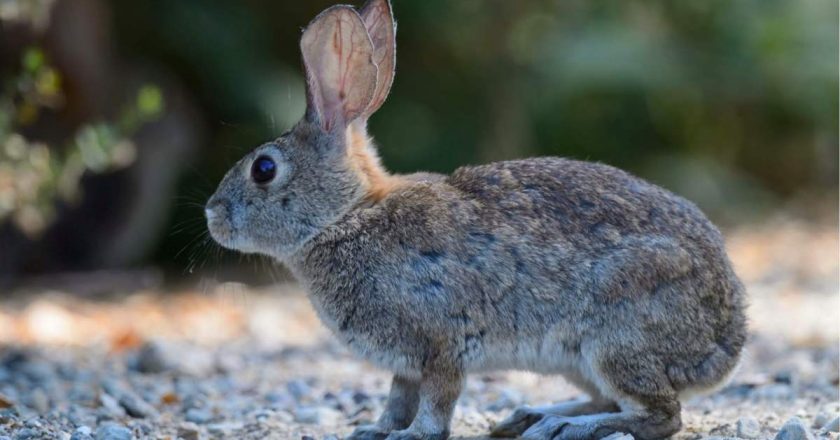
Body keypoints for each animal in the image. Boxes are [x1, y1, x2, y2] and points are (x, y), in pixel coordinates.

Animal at [205, 1, 748, 438]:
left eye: (264, 169)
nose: (212, 215)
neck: (347, 215)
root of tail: (725, 341)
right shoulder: (405, 363)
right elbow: (397, 398)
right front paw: (375, 430)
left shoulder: (440, 342)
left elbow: (436, 400)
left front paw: (414, 435)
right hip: (581, 359)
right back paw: (532, 415)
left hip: (616, 335)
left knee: (659, 415)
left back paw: (565, 427)